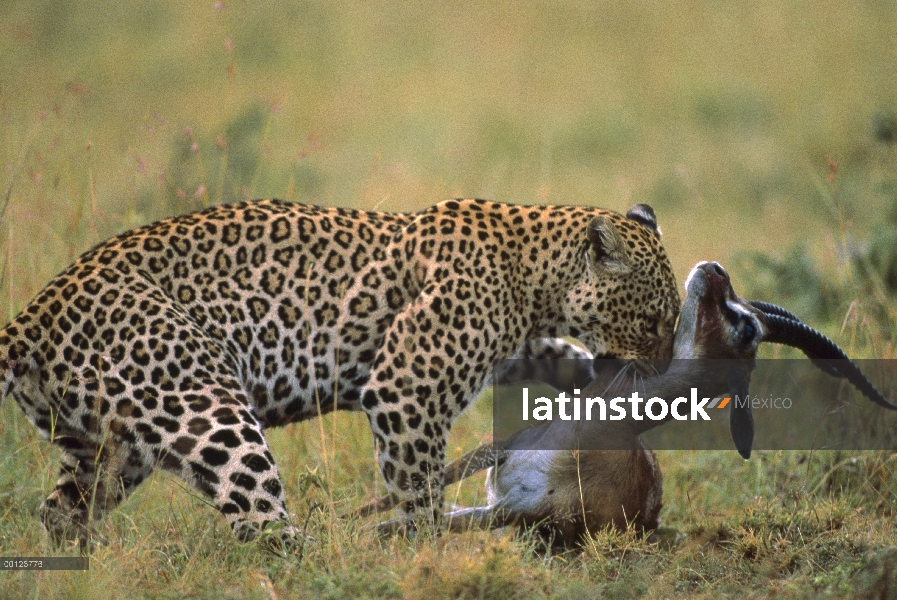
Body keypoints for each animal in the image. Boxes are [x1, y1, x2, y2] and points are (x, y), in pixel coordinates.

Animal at [0, 199, 680, 548]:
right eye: (651, 320)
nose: (664, 366)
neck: (534, 273)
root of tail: (32, 317)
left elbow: (536, 351)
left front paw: (579, 370)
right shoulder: (408, 385)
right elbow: (418, 490)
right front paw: (426, 555)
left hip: (110, 450)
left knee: (59, 513)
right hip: (209, 410)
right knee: (263, 527)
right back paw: (326, 555)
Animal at [354, 260, 892, 548]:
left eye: (745, 328)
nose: (714, 269)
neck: (588, 436)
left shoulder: (512, 512)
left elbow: (411, 524)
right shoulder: (502, 449)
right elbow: (416, 492)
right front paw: (351, 513)